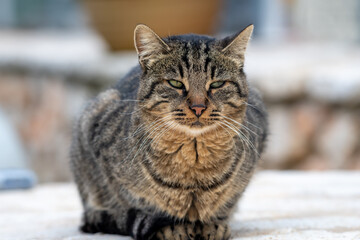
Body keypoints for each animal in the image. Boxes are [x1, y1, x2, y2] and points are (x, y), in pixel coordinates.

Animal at [70, 24, 268, 240]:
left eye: (217, 84)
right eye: (175, 83)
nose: (198, 107)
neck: (194, 157)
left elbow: (225, 202)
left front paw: (212, 224)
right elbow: (143, 203)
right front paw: (172, 226)